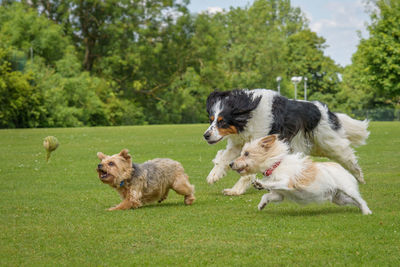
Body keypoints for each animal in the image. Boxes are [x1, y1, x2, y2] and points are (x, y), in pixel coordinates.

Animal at [205, 89, 370, 196]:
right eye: (211, 119)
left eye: (222, 122)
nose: (206, 135)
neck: (248, 115)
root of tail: (325, 110)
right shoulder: (238, 144)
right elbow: (224, 158)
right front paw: (214, 175)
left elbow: (246, 171)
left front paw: (235, 190)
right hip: (317, 146)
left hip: (329, 142)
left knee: (347, 156)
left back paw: (360, 178)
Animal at [231, 136, 372, 216]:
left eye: (246, 153)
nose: (231, 164)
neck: (275, 165)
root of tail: (342, 168)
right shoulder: (279, 195)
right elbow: (266, 196)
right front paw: (262, 205)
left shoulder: (286, 183)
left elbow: (272, 183)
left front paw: (260, 183)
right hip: (338, 199)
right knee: (354, 202)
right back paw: (361, 209)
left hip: (348, 189)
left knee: (360, 200)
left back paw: (366, 212)